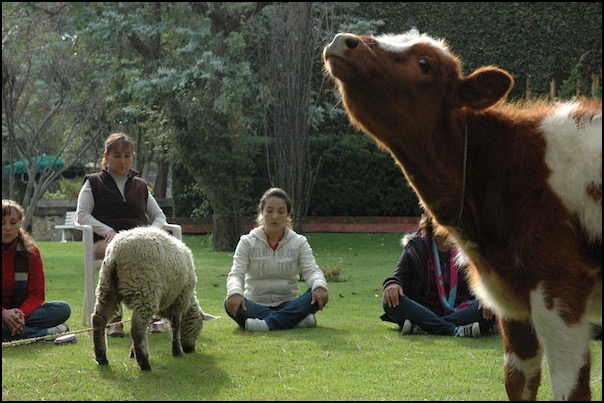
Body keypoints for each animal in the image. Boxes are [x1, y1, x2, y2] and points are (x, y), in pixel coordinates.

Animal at [91, 226, 216, 370]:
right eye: (199, 327)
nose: (190, 349)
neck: (189, 301)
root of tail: (116, 253)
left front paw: (132, 352)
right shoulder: (179, 299)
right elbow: (175, 326)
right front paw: (177, 351)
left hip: (107, 286)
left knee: (98, 319)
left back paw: (102, 358)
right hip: (145, 289)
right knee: (137, 328)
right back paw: (144, 363)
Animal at [324, 30, 600, 402]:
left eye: (424, 63)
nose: (344, 40)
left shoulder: (559, 286)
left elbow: (570, 387)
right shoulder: (511, 299)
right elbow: (518, 380)